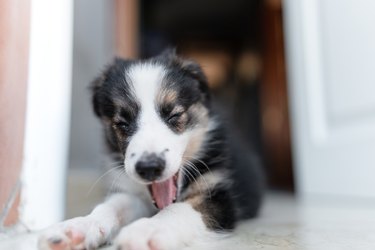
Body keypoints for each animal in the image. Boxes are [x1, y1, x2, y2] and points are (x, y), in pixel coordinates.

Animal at [37, 49, 262, 250]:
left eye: (174, 115)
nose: (149, 167)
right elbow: (112, 205)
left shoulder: (218, 195)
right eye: (123, 123)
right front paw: (74, 229)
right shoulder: (132, 191)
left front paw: (146, 231)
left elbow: (177, 210)